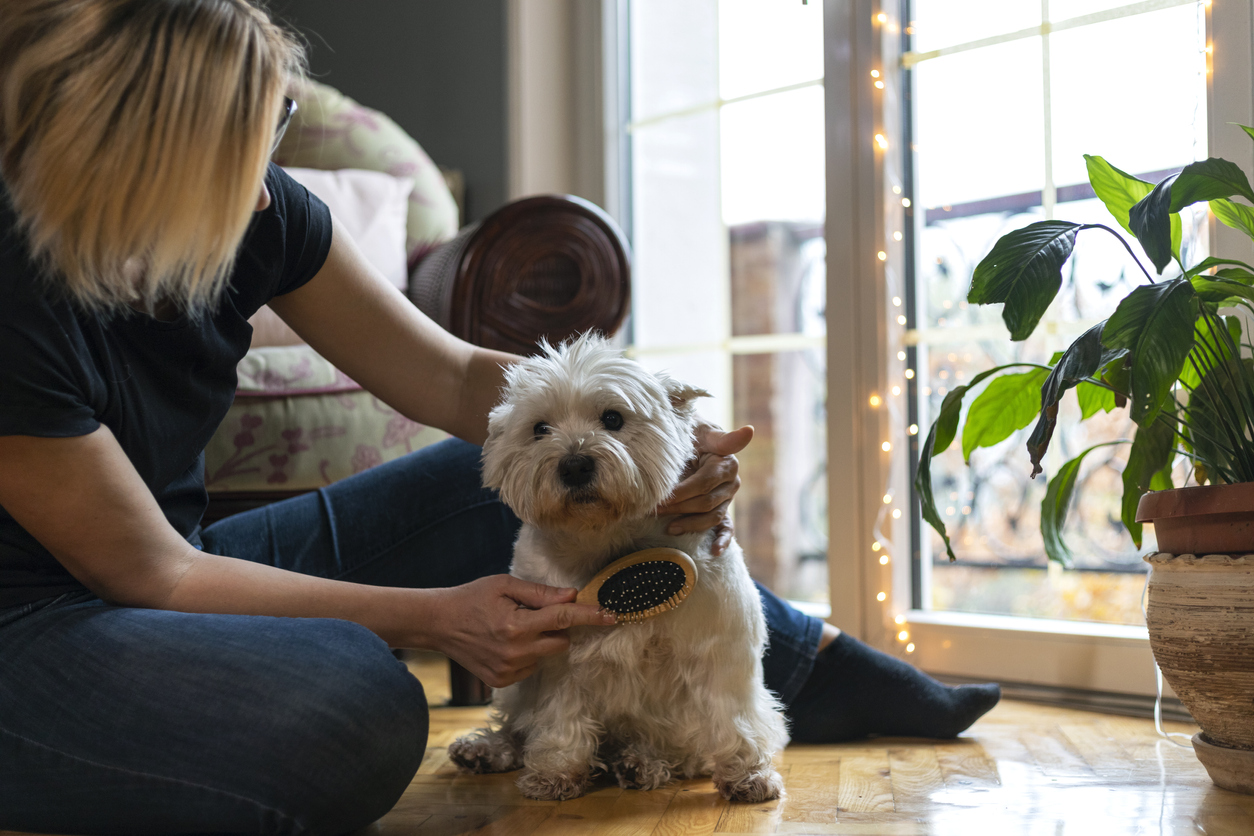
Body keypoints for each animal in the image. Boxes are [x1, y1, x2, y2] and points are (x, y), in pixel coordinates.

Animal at [448, 333, 782, 802]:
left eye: (613, 418)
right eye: (539, 428)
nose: (574, 465)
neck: (608, 543)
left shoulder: (717, 647)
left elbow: (732, 714)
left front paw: (748, 775)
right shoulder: (555, 657)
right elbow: (559, 718)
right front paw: (555, 774)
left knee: (673, 750)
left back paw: (640, 763)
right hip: (517, 687)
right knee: (516, 723)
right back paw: (485, 750)